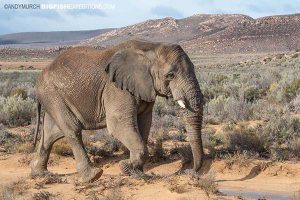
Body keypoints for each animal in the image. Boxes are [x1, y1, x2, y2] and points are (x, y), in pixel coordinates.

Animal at [30, 39, 204, 183]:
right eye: (170, 75)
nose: (191, 170)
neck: (151, 47)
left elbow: (144, 124)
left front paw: (137, 172)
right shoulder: (116, 88)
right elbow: (118, 124)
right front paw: (126, 167)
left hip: (53, 98)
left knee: (51, 134)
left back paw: (40, 174)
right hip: (52, 94)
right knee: (72, 130)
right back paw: (92, 177)